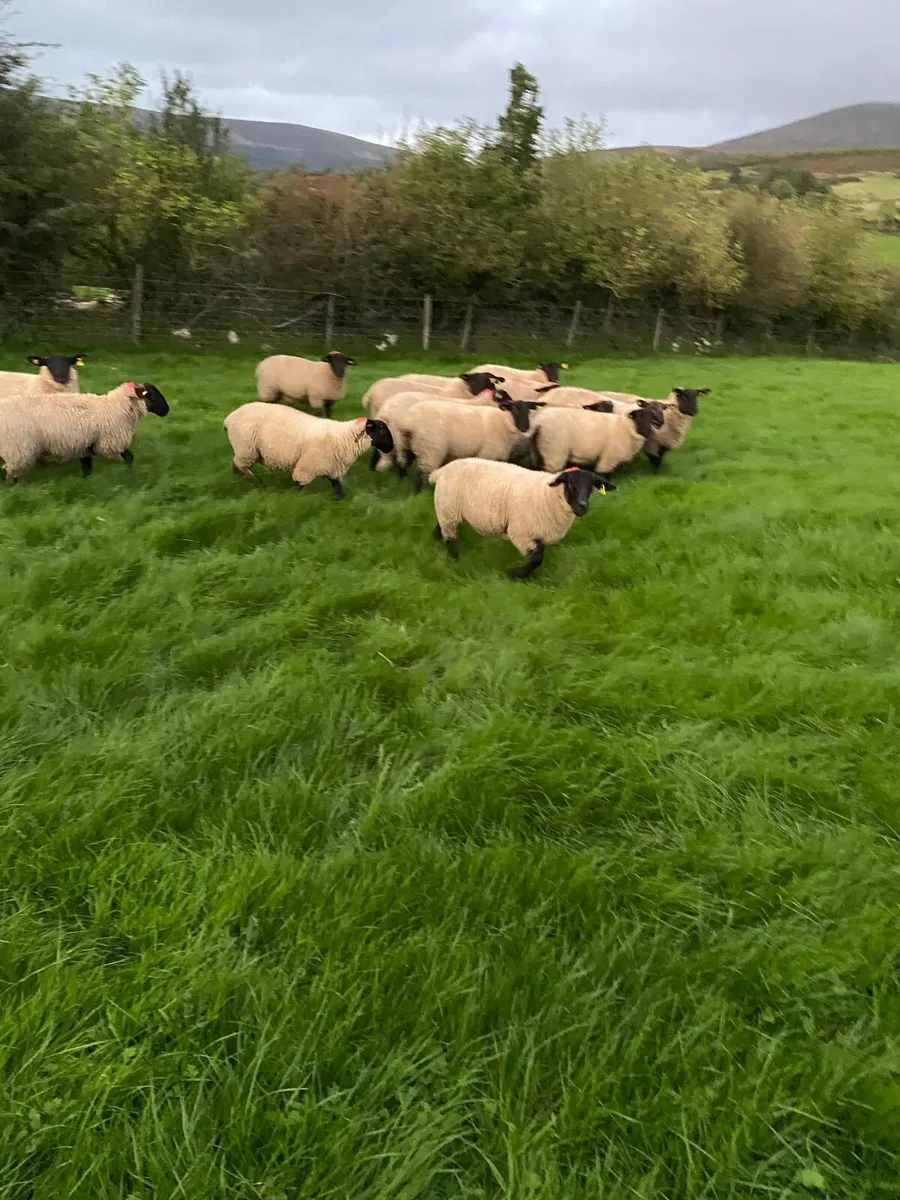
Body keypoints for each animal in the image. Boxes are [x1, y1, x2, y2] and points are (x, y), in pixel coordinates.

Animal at [0, 382, 169, 484]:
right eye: (152, 394)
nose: (167, 410)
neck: (116, 407)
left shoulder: (84, 445)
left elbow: (87, 466)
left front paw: (86, 480)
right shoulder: (109, 443)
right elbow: (129, 457)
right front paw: (129, 472)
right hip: (18, 449)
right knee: (11, 472)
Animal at [224, 402, 393, 499]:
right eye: (383, 431)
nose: (391, 448)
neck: (344, 437)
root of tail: (229, 418)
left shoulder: (332, 468)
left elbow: (338, 488)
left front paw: (339, 500)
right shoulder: (307, 466)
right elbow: (300, 484)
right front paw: (294, 497)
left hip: (243, 449)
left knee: (236, 463)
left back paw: (239, 479)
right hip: (246, 448)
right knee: (242, 465)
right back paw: (258, 482)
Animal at [395, 395, 546, 493]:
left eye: (529, 410)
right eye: (513, 409)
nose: (525, 428)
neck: (504, 422)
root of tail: (409, 421)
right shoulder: (487, 454)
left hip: (407, 444)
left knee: (403, 463)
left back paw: (402, 483)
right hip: (431, 449)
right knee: (420, 474)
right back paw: (419, 493)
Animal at [431, 459, 616, 579]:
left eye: (591, 487)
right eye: (571, 484)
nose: (582, 506)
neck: (548, 495)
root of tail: (441, 471)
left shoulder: (537, 535)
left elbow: (539, 555)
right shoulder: (520, 533)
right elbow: (536, 559)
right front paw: (515, 574)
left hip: (446, 510)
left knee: (441, 528)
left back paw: (437, 539)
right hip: (448, 511)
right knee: (450, 539)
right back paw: (455, 559)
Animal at [530, 402, 663, 478]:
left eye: (651, 418)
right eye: (639, 417)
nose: (649, 432)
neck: (625, 426)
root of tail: (538, 423)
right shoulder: (609, 457)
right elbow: (603, 474)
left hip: (538, 450)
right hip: (554, 451)